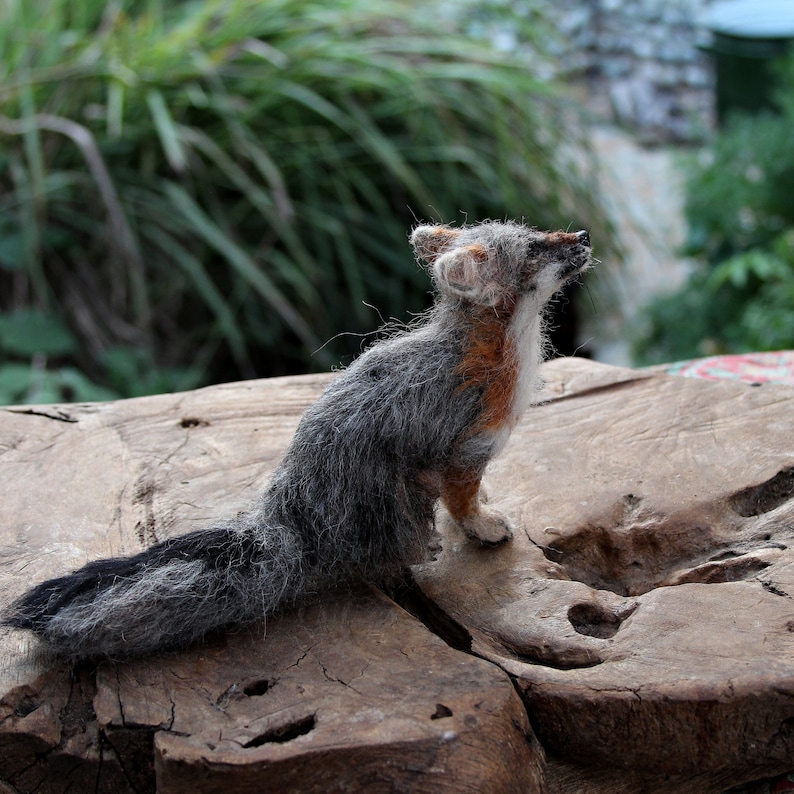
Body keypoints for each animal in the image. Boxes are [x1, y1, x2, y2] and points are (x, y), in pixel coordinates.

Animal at [4, 220, 588, 660]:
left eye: (539, 231)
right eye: (536, 248)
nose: (582, 233)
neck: (492, 348)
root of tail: (288, 521)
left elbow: (468, 495)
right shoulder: (466, 450)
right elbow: (464, 503)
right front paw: (485, 526)